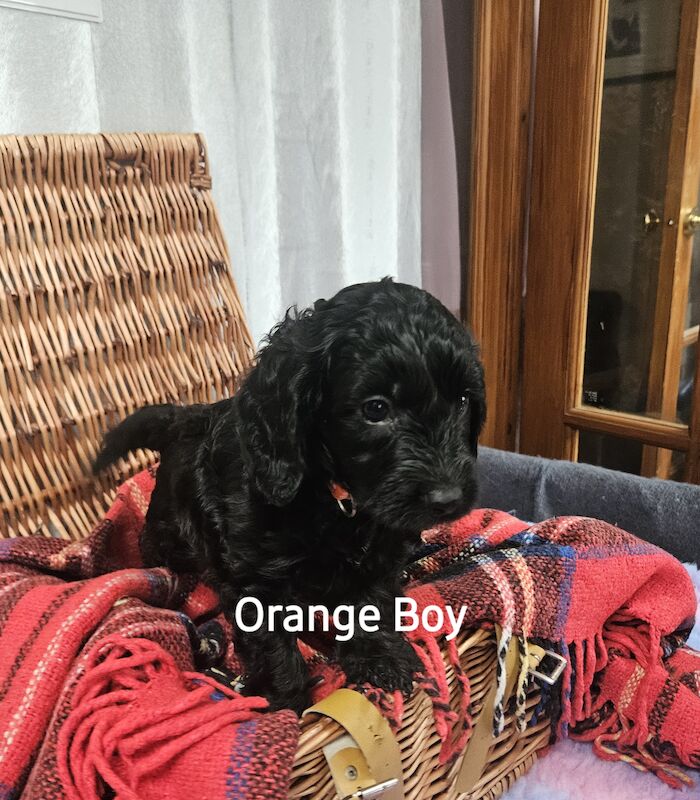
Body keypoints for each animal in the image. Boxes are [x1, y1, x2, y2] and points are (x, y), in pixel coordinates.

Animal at [94, 276, 486, 712]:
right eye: (376, 409)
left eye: (464, 400)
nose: (448, 499)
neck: (336, 499)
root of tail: (189, 417)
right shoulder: (256, 578)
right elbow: (274, 648)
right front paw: (289, 703)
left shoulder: (380, 553)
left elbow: (373, 602)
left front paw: (382, 660)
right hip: (170, 532)